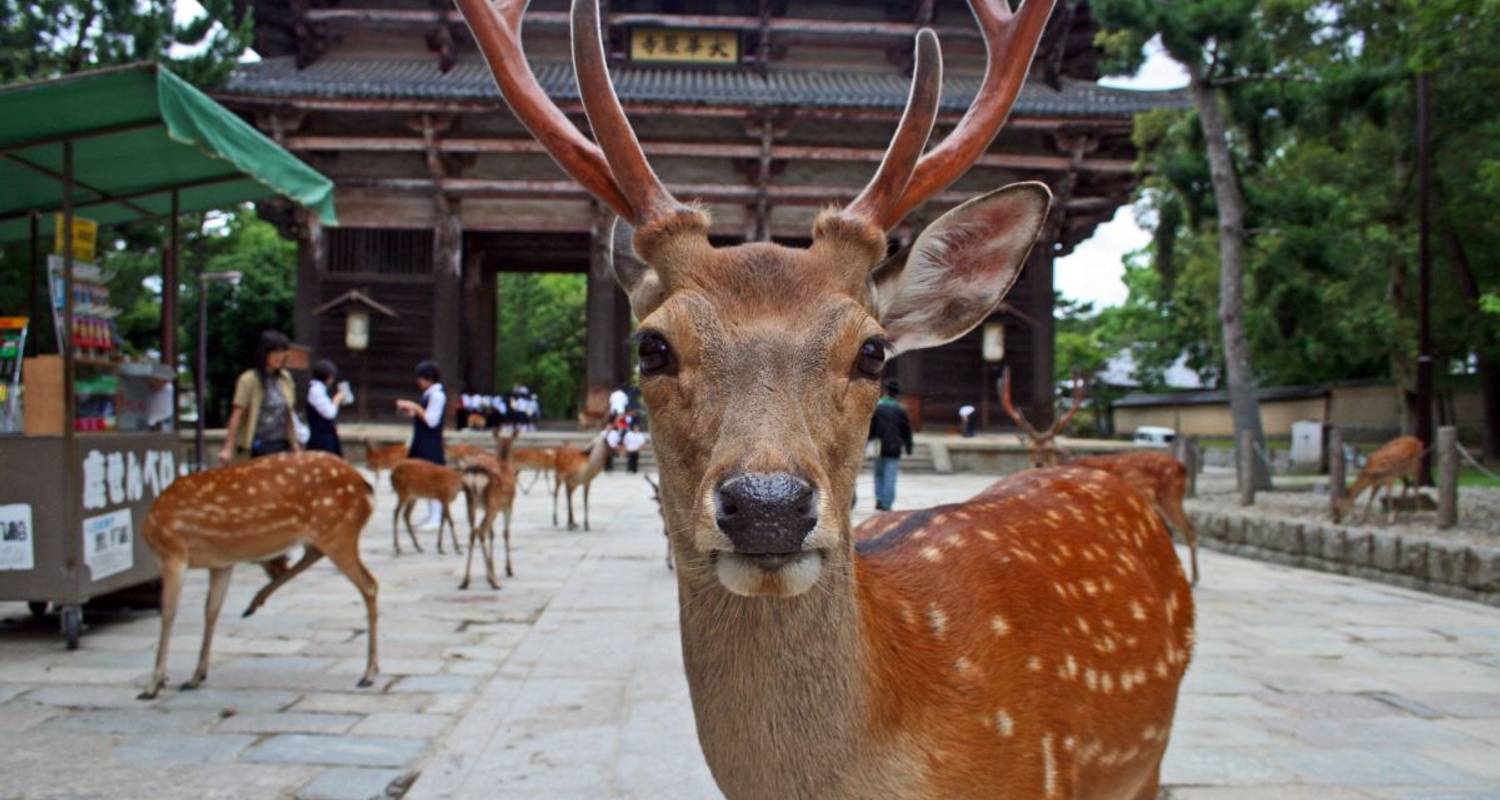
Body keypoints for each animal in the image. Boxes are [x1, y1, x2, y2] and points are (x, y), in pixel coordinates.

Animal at [140, 453, 378, 696]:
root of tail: (365, 488)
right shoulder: (221, 563)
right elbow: (211, 610)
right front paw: (196, 676)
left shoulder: (172, 553)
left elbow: (168, 613)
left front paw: (154, 684)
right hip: (328, 533)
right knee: (314, 555)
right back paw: (254, 603)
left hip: (337, 531)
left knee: (369, 584)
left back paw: (368, 674)